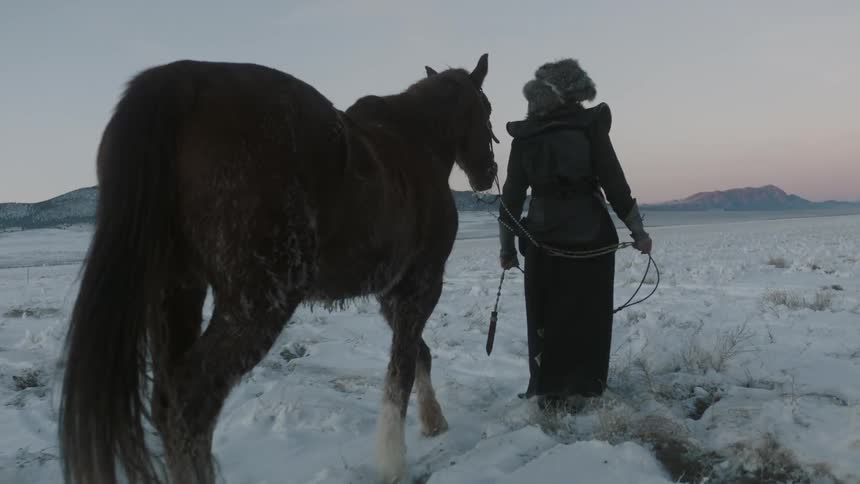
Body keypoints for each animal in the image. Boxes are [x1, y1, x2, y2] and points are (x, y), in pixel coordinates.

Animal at [58, 54, 498, 483]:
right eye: (486, 108)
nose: (489, 172)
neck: (415, 142)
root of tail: (182, 83)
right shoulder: (422, 282)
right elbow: (401, 370)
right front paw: (394, 462)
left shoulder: (391, 292)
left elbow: (417, 352)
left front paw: (433, 421)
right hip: (259, 304)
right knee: (190, 402)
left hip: (179, 292)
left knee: (167, 401)